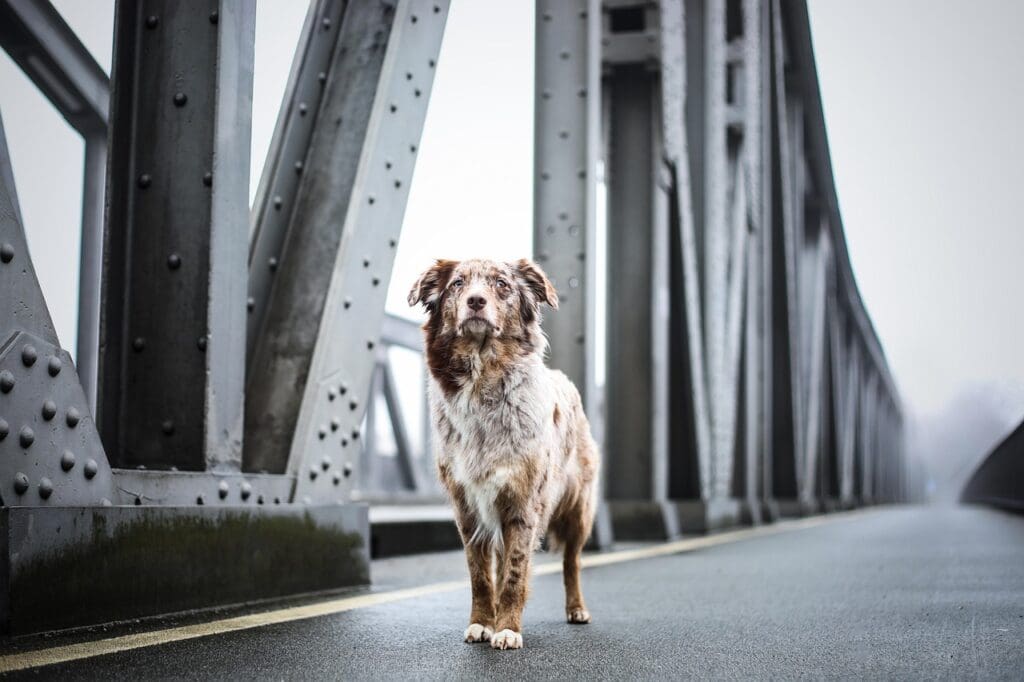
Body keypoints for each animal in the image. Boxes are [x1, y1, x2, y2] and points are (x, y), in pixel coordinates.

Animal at [407, 256, 598, 647]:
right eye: (458, 284)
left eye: (502, 285)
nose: (475, 301)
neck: (482, 379)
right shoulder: (468, 507)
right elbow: (481, 576)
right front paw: (482, 623)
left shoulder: (523, 504)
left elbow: (513, 573)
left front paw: (508, 629)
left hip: (579, 509)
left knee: (571, 561)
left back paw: (576, 609)